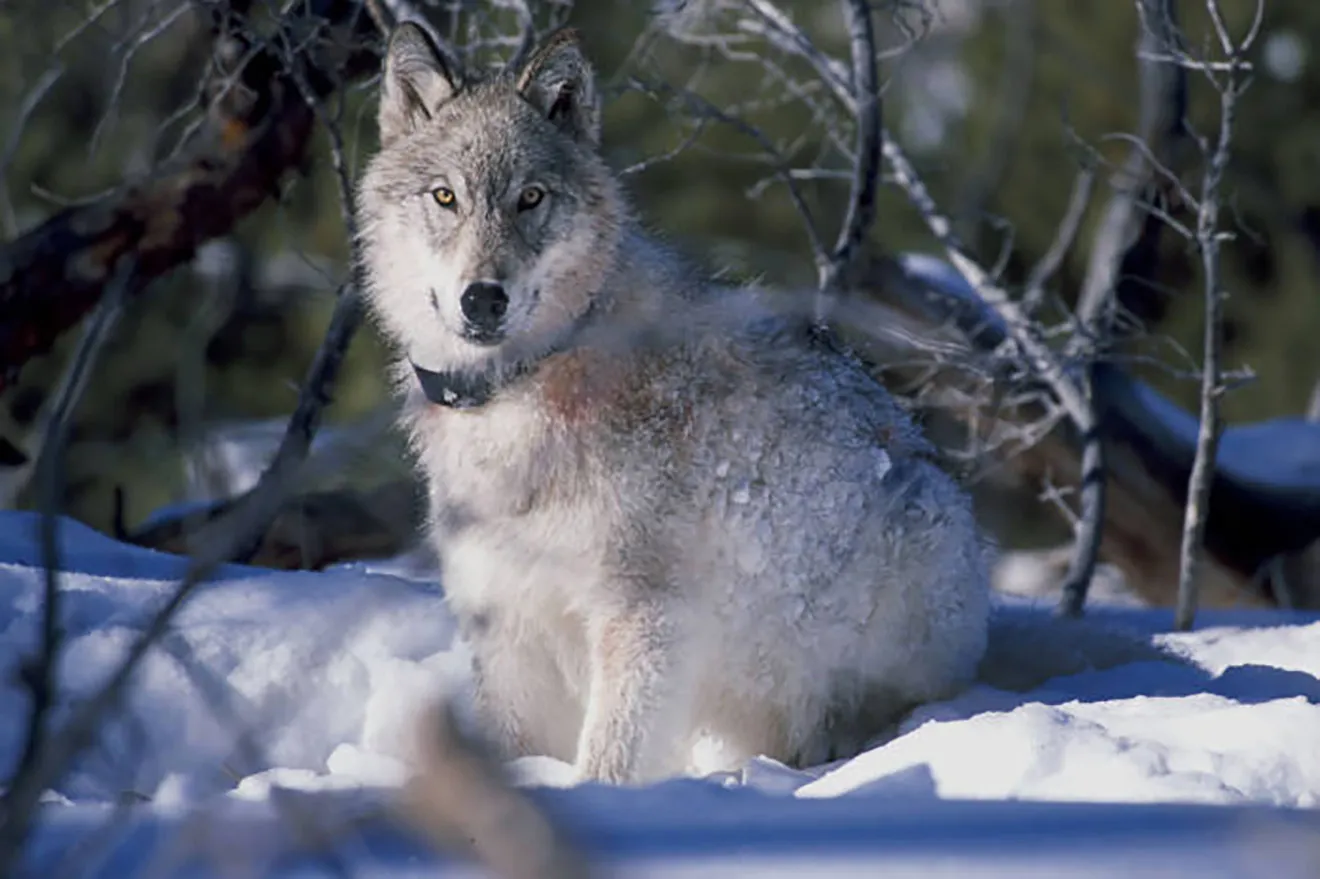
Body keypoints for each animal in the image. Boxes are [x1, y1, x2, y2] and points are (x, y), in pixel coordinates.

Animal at [356, 22, 992, 781]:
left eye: (531, 198)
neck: (522, 388)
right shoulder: (507, 623)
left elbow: (611, 756)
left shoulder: (644, 617)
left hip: (907, 547)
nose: (483, 298)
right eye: (445, 197)